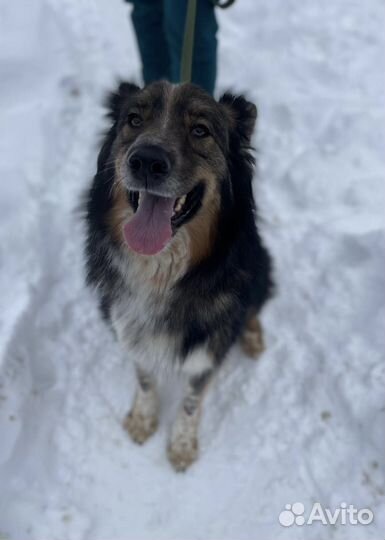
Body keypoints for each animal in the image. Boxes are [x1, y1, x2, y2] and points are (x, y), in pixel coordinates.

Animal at [83, 78, 272, 470]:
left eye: (200, 130)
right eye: (134, 120)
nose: (146, 160)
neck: (160, 272)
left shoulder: (208, 353)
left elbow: (190, 402)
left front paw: (182, 446)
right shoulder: (128, 328)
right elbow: (144, 379)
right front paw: (143, 419)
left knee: (255, 306)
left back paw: (252, 337)